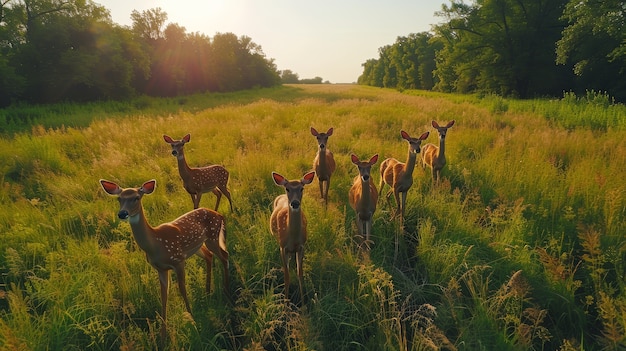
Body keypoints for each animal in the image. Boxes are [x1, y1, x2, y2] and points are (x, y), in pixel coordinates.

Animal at [99, 180, 229, 340]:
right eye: (119, 199)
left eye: (136, 197)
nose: (122, 213)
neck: (156, 244)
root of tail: (220, 215)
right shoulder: (160, 268)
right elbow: (163, 296)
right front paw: (163, 335)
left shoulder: (178, 260)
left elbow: (182, 289)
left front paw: (192, 319)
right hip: (197, 246)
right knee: (209, 256)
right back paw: (208, 292)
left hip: (212, 236)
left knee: (225, 256)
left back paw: (226, 290)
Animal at [270, 171, 314, 302]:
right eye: (287, 188)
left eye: (302, 188)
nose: (295, 203)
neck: (293, 238)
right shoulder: (282, 247)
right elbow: (287, 276)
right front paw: (285, 303)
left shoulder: (301, 246)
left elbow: (300, 274)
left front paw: (304, 302)